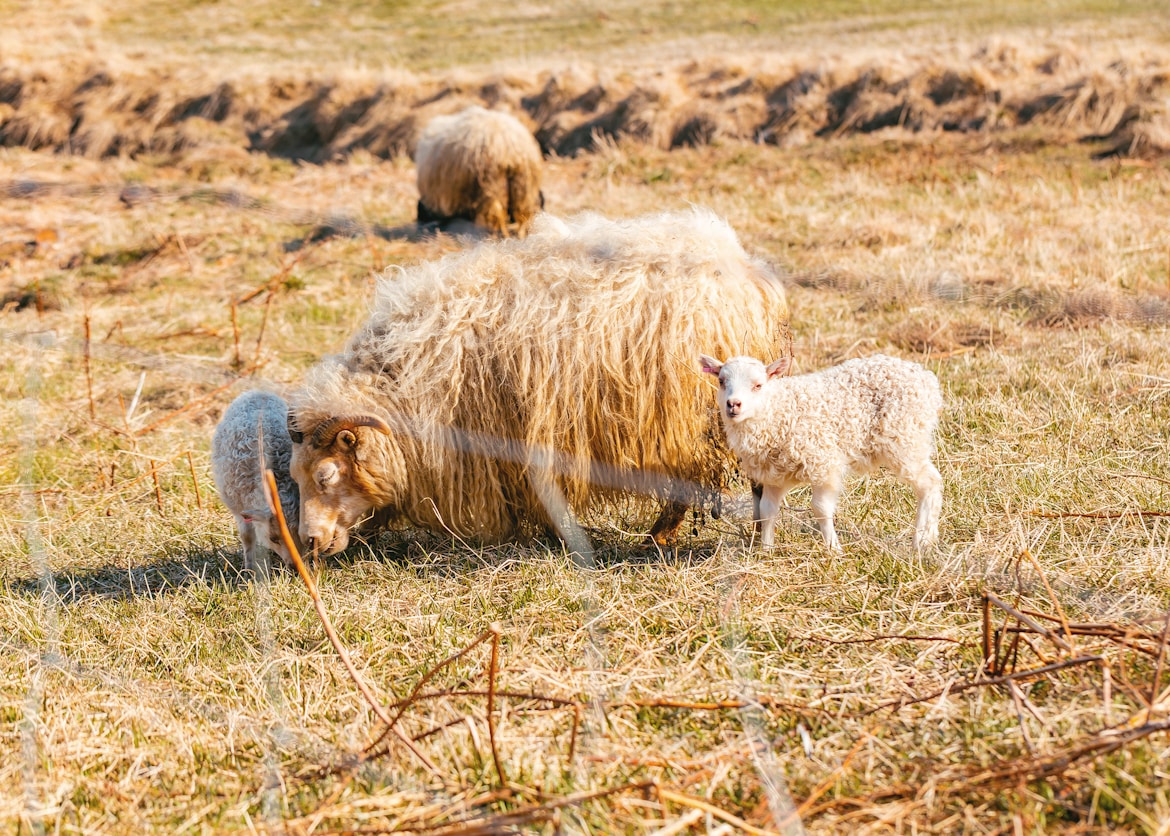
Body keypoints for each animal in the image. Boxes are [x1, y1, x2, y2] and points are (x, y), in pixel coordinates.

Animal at [211, 388, 301, 572]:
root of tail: (259, 392)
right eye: (273, 539)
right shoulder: (239, 507)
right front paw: (249, 570)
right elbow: (247, 537)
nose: (294, 567)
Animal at [286, 208, 790, 556]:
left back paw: (673, 537)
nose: (308, 543)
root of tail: (747, 270)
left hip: (697, 412)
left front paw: (557, 537)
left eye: (326, 475)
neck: (406, 381)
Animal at [692, 350, 940, 549]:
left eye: (758, 385)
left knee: (930, 482)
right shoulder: (774, 475)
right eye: (722, 381)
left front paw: (833, 548)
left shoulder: (823, 464)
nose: (733, 404)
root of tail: (925, 377)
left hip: (906, 439)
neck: (777, 411)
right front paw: (766, 550)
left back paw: (921, 541)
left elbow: (820, 508)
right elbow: (767, 510)